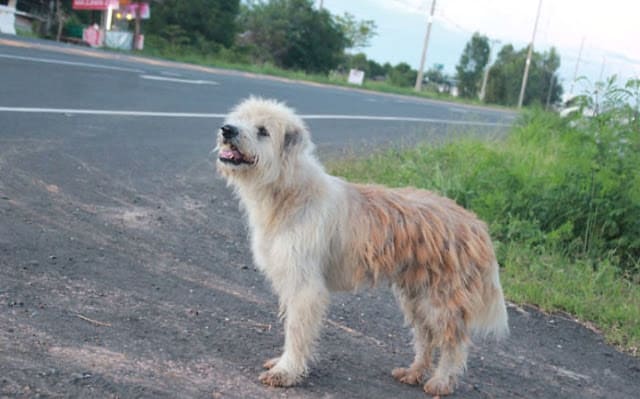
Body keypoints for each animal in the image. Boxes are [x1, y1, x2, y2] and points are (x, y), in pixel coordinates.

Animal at [216, 97, 510, 396]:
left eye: (263, 130)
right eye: (240, 118)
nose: (227, 129)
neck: (290, 191)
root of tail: (476, 225)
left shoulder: (305, 287)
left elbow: (297, 331)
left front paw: (286, 371)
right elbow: (291, 326)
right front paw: (282, 363)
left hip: (441, 302)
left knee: (453, 343)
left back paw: (441, 381)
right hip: (416, 298)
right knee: (425, 338)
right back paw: (413, 372)